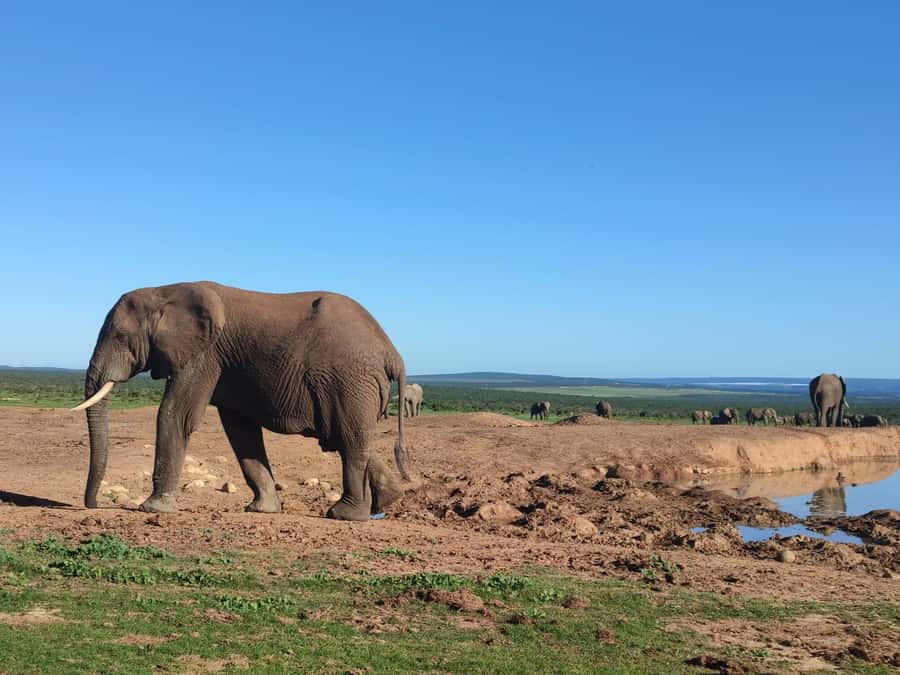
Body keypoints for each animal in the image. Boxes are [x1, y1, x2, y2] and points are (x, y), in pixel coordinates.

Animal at [71, 282, 411, 521]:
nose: (92, 505)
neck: (164, 290)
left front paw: (151, 508)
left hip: (349, 380)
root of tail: (392, 353)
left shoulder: (204, 353)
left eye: (120, 337)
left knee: (350, 439)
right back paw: (386, 501)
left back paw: (344, 514)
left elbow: (176, 414)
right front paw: (262, 510)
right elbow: (240, 430)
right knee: (348, 437)